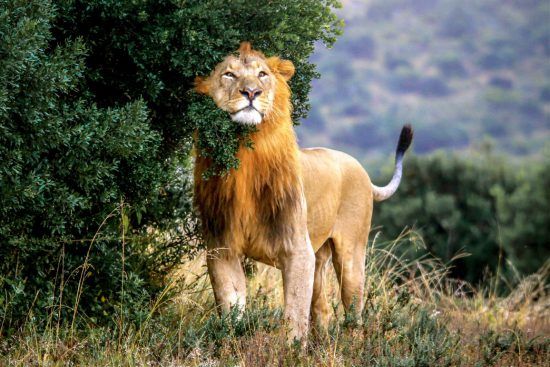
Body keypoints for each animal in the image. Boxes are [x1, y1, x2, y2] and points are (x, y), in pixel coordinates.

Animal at [194, 42, 414, 342]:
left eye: (262, 74)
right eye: (229, 74)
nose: (251, 92)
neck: (247, 153)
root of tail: (362, 170)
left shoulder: (298, 252)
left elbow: (294, 317)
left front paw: (290, 348)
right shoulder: (222, 249)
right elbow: (231, 310)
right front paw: (229, 343)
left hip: (351, 256)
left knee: (354, 312)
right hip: (319, 259)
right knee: (322, 309)